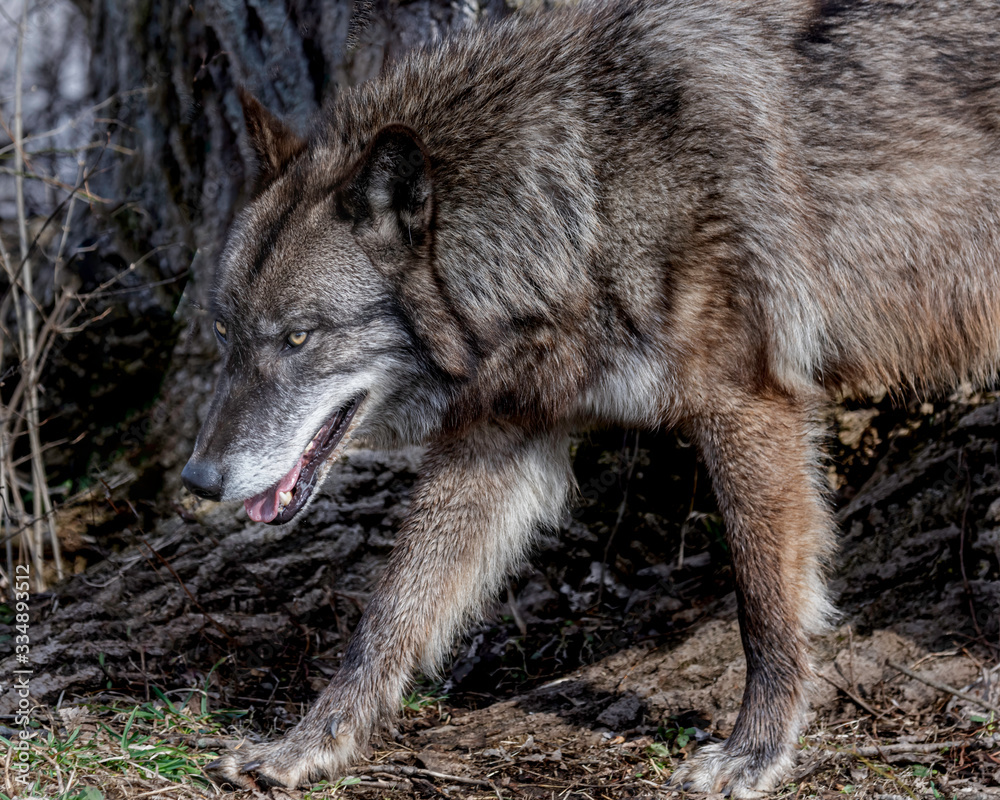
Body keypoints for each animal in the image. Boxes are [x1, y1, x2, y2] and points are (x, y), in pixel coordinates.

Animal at [181, 0, 1000, 794]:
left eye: (298, 338)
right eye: (224, 331)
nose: (199, 480)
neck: (587, 194)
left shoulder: (749, 408)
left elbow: (764, 607)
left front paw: (755, 754)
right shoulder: (494, 437)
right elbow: (390, 612)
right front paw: (307, 746)